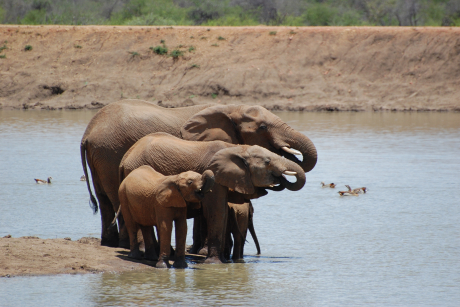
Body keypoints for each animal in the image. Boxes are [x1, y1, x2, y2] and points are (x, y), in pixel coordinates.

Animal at [80, 100, 316, 249]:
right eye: (263, 127)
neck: (231, 107)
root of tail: (88, 133)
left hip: (100, 156)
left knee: (104, 200)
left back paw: (109, 243)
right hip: (110, 153)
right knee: (114, 197)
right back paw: (129, 246)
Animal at [118, 132, 306, 264]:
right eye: (267, 162)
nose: (279, 178)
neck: (237, 148)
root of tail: (125, 157)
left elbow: (223, 213)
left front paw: (222, 261)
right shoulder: (217, 175)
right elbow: (217, 212)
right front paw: (215, 264)